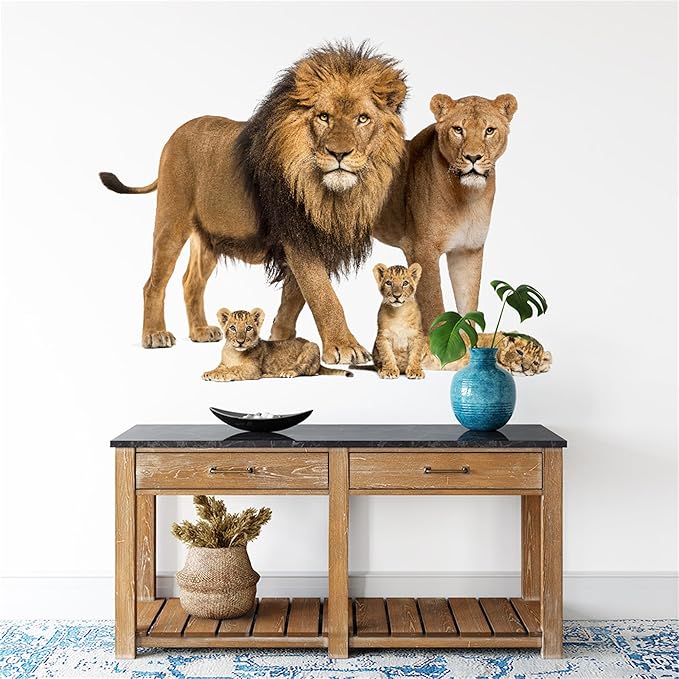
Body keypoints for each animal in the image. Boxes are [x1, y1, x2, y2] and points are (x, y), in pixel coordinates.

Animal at [99, 42, 407, 363]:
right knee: (154, 283)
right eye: (324, 117)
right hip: (171, 222)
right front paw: (345, 346)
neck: (332, 194)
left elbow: (294, 296)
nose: (339, 154)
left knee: (191, 282)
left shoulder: (311, 238)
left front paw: (282, 339)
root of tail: (176, 134)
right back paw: (155, 334)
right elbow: (322, 294)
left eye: (363, 118)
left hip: (210, 237)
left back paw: (199, 331)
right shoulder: (298, 235)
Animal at [202, 308, 352, 381]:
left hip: (312, 346)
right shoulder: (223, 364)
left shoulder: (252, 369)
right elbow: (220, 368)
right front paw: (209, 373)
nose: (240, 341)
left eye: (248, 328)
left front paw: (218, 376)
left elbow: (234, 369)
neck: (233, 352)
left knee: (305, 370)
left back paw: (286, 372)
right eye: (232, 328)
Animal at [373, 93, 518, 333]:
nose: (473, 157)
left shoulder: (468, 250)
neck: (467, 198)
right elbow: (435, 309)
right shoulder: (422, 249)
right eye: (458, 129)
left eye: (489, 130)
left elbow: (468, 307)